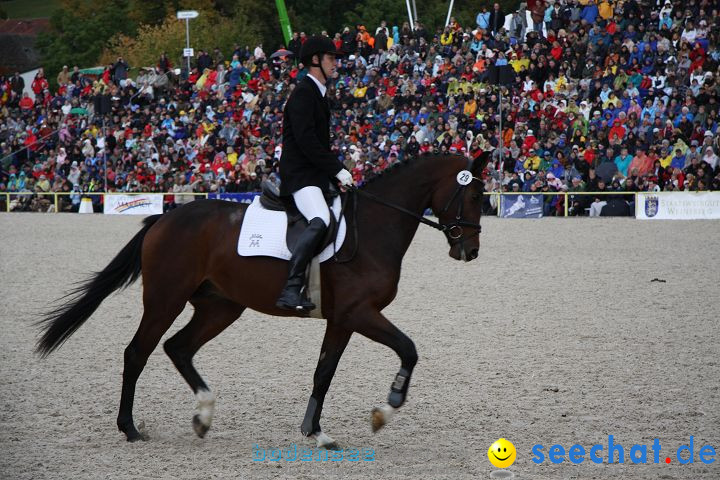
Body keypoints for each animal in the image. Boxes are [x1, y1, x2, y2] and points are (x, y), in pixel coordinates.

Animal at [36, 152, 492, 448]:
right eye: (472, 196)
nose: (470, 251)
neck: (374, 226)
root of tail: (164, 217)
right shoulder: (360, 312)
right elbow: (408, 349)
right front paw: (387, 409)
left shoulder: (342, 319)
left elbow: (323, 373)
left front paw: (315, 431)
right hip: (166, 299)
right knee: (137, 353)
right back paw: (130, 428)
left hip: (221, 306)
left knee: (178, 347)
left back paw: (203, 415)